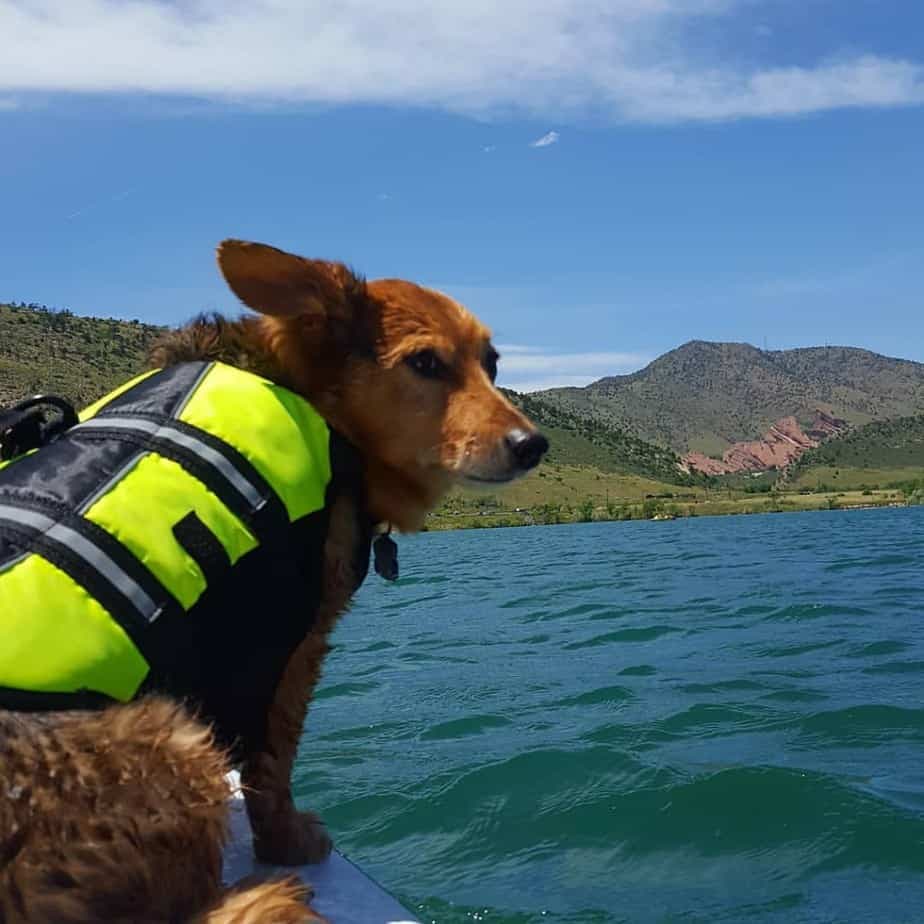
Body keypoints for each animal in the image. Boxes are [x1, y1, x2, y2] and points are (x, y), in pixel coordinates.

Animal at [0, 240, 548, 924]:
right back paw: (264, 897)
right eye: (425, 362)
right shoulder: (288, 646)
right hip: (177, 740)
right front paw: (288, 842)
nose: (534, 444)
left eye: (492, 364)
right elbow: (272, 763)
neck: (307, 397)